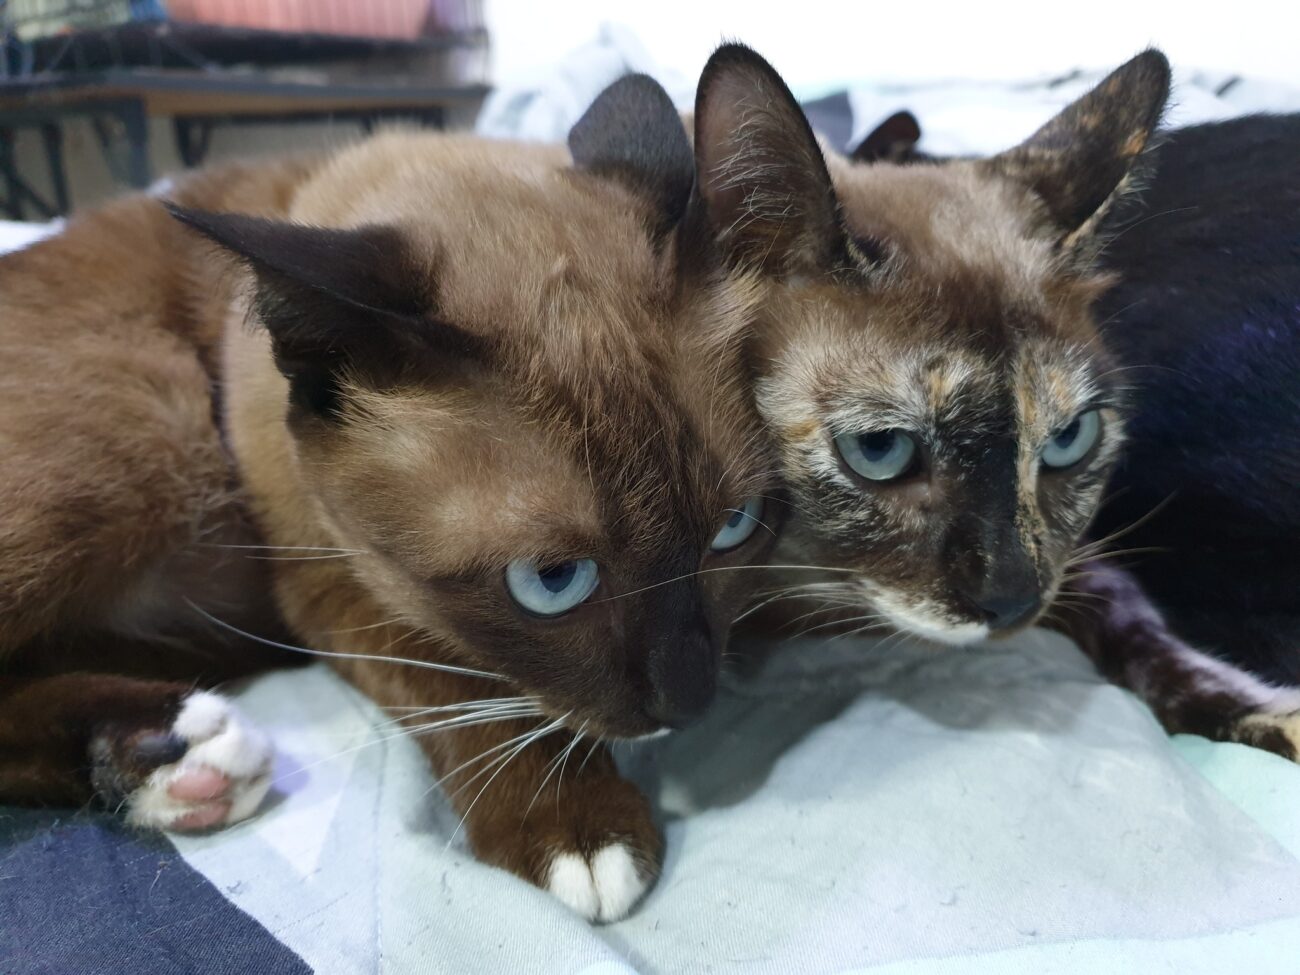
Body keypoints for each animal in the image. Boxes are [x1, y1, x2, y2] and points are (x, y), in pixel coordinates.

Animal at [0, 74, 785, 921]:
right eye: (552, 582)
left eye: (733, 528)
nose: (688, 701)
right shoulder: (333, 589)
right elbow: (462, 683)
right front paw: (576, 828)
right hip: (154, 436)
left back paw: (172, 759)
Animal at [686, 43, 1300, 758]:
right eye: (879, 450)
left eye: (1069, 442)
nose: (1011, 603)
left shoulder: (1065, 562)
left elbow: (1140, 628)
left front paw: (1267, 719)